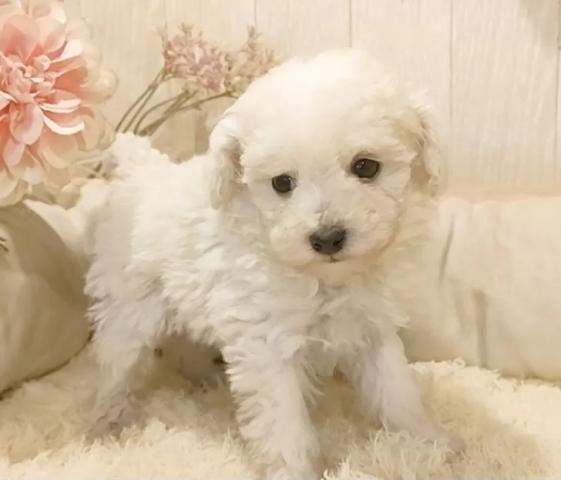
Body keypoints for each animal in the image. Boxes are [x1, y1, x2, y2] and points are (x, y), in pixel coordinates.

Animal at [86, 50, 458, 480]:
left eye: (366, 166)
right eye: (282, 183)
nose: (327, 238)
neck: (324, 279)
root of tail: (144, 171)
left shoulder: (371, 328)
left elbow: (396, 389)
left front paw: (428, 441)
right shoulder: (267, 344)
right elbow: (283, 423)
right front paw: (293, 470)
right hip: (129, 310)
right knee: (118, 364)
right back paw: (106, 423)